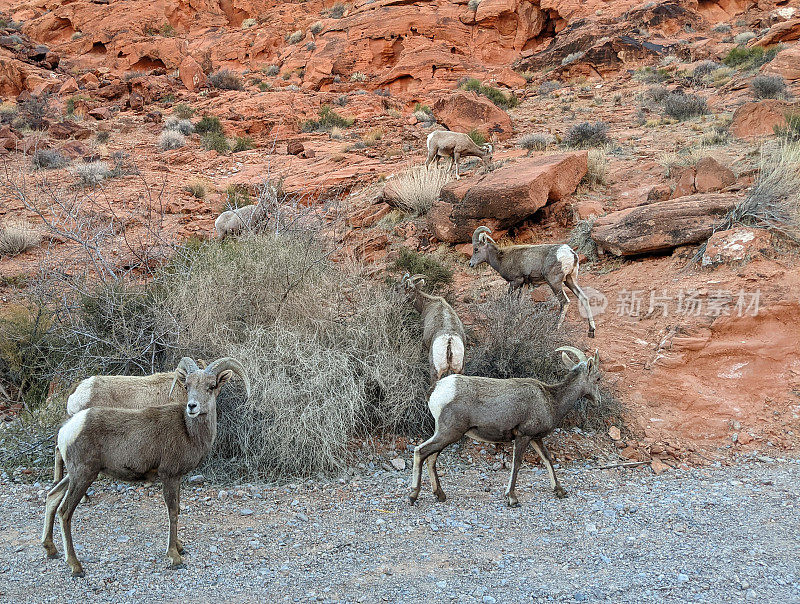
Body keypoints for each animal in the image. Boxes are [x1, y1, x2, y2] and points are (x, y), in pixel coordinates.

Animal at [39, 356, 247, 580]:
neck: (188, 430)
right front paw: (174, 557)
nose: (192, 406)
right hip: (83, 475)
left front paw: (180, 547)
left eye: (211, 386)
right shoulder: (169, 476)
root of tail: (68, 429)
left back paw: (51, 550)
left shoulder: (178, 478)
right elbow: (172, 511)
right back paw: (76, 567)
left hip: (75, 474)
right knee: (64, 512)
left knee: (52, 496)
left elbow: (177, 509)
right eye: (187, 385)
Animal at [412, 346, 600, 508]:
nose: (598, 400)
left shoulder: (535, 438)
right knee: (421, 451)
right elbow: (516, 464)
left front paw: (560, 491)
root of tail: (435, 390)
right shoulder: (523, 436)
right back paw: (413, 495)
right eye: (598, 378)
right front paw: (512, 498)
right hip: (450, 432)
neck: (551, 401)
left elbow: (547, 459)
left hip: (444, 433)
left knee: (431, 457)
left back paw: (440, 495)